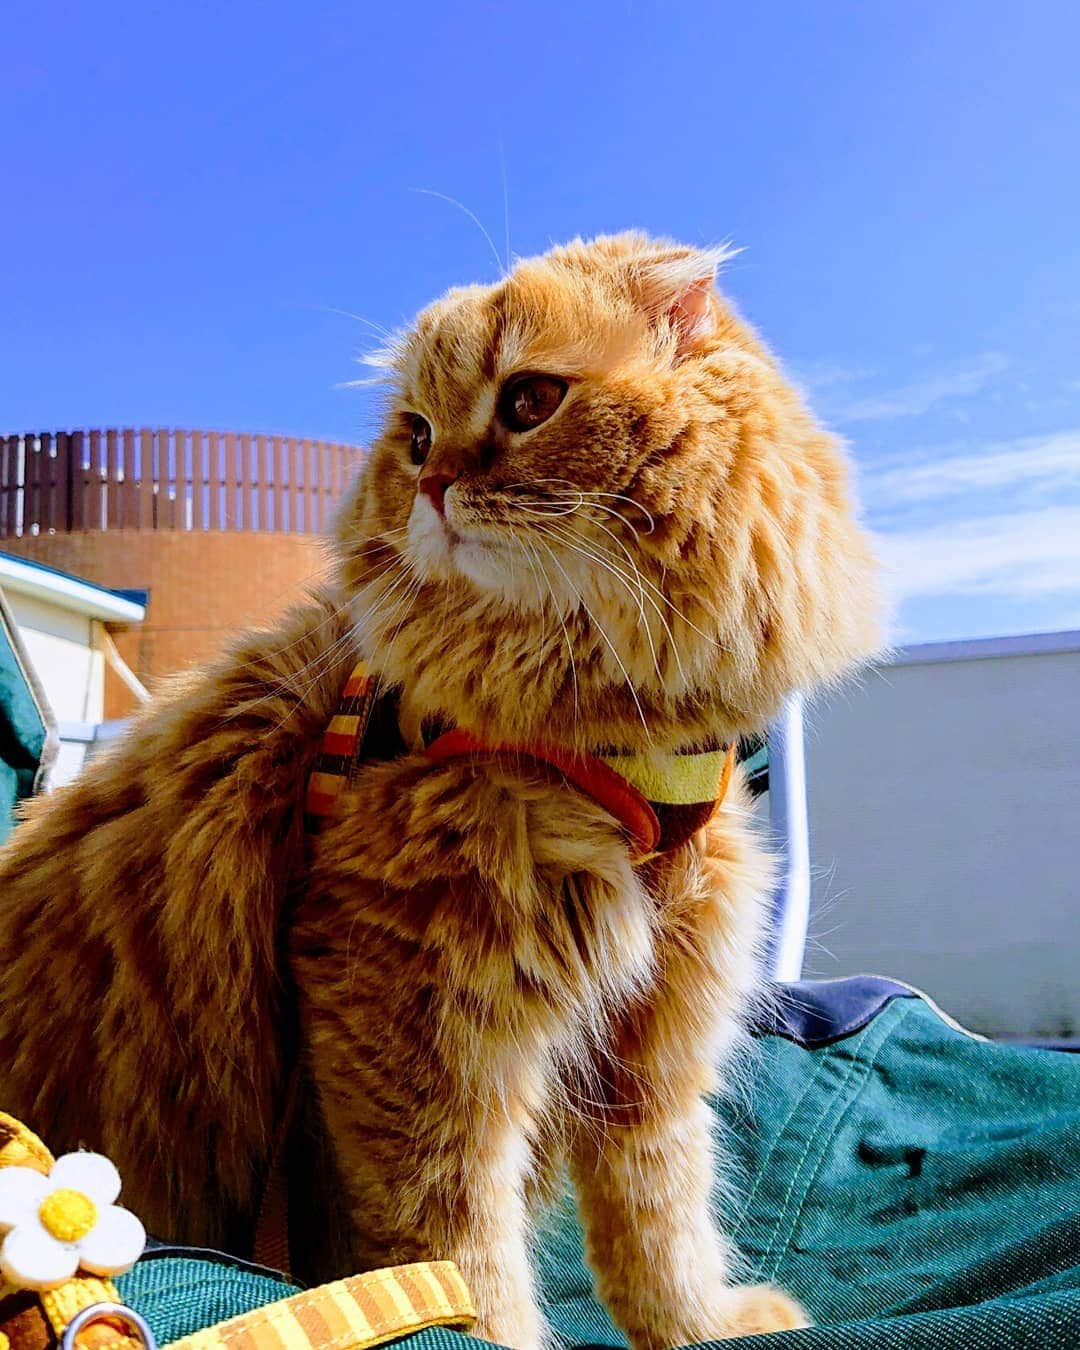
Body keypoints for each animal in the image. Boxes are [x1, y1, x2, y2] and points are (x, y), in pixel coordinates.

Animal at [0, 237, 880, 1344]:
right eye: (416, 435)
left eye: (530, 401)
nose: (435, 481)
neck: (598, 721)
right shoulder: (418, 1022)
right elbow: (458, 1256)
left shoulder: (653, 1042)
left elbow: (662, 1224)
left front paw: (705, 1325)